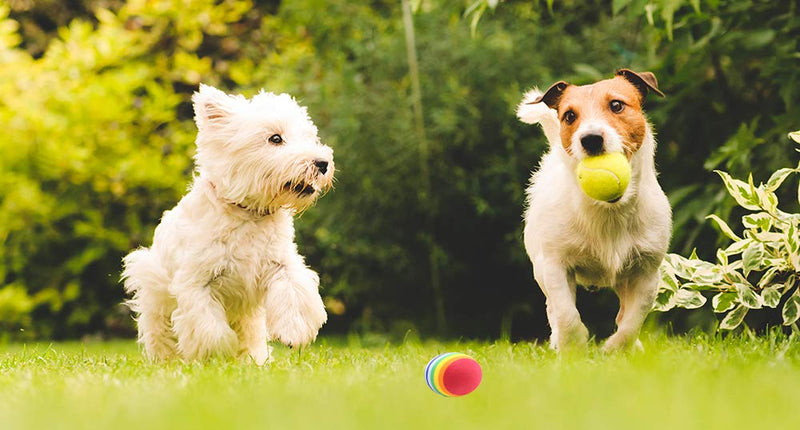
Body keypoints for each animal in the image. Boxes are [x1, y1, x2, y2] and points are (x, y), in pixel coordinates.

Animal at [120, 84, 332, 362]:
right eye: (275, 138)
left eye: (309, 137)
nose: (322, 163)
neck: (248, 213)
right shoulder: (197, 282)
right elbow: (210, 329)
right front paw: (217, 355)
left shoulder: (281, 263)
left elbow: (293, 291)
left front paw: (293, 333)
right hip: (154, 292)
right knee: (161, 334)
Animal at [512, 69, 676, 352]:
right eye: (569, 116)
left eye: (617, 105)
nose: (590, 139)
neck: (609, 211)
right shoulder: (555, 266)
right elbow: (566, 313)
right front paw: (574, 344)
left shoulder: (647, 273)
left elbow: (633, 320)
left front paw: (615, 348)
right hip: (541, 269)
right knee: (553, 308)